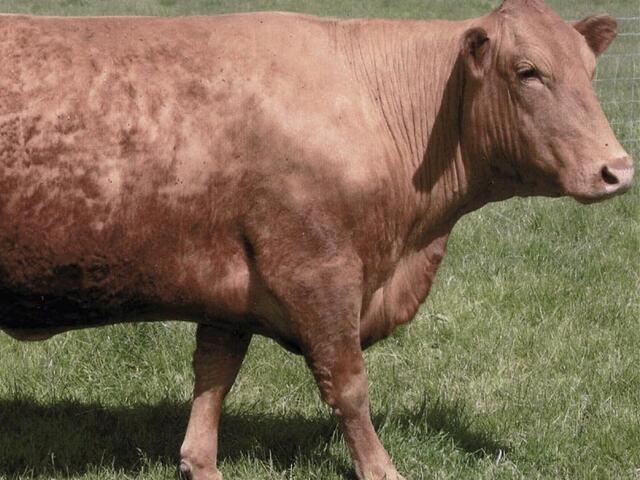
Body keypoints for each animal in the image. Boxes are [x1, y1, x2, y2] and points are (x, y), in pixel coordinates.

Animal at [0, 0, 634, 478]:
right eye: (528, 71)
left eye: (589, 71)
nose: (619, 169)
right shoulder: (318, 270)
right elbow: (349, 386)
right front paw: (381, 469)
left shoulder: (230, 286)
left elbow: (214, 374)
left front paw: (200, 463)